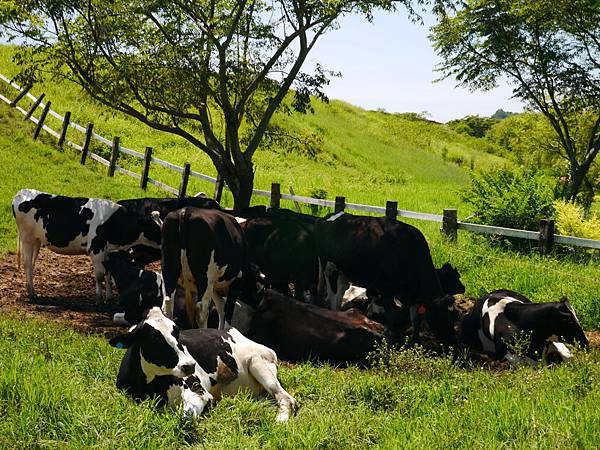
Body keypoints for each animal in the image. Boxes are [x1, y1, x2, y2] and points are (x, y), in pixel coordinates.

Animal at [12, 188, 162, 300]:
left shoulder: (107, 252)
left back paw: (32, 290)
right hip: (27, 238)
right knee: (27, 264)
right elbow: (100, 276)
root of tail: (21, 192)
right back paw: (32, 294)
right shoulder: (96, 250)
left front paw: (109, 297)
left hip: (36, 240)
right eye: (155, 228)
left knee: (32, 264)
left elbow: (109, 273)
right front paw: (99, 298)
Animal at [110, 306, 298, 422]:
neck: (151, 387)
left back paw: (280, 420)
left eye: (177, 333)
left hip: (258, 362)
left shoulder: (199, 391)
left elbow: (186, 416)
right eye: (155, 339)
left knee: (287, 398)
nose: (190, 365)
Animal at [318, 213, 454, 346]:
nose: (452, 342)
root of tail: (331, 216)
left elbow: (415, 319)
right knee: (332, 297)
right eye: (442, 315)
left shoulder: (413, 295)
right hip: (329, 269)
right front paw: (390, 336)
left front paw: (415, 342)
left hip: (343, 273)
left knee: (340, 293)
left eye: (452, 316)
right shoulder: (385, 288)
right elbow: (389, 313)